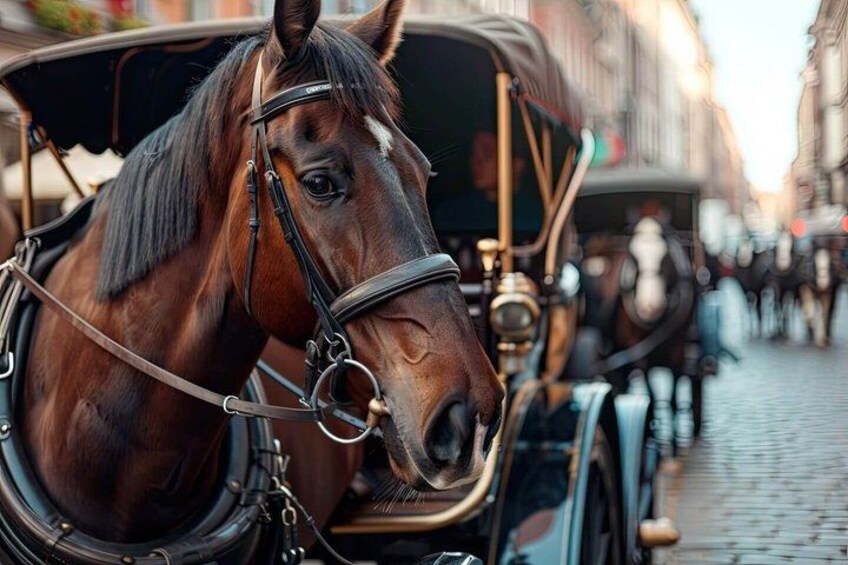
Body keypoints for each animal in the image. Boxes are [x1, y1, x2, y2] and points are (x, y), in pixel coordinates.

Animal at [581, 216, 695, 456]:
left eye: (664, 257)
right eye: (633, 257)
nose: (649, 307)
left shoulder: (678, 346)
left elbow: (673, 389)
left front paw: (672, 444)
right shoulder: (638, 349)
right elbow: (650, 389)